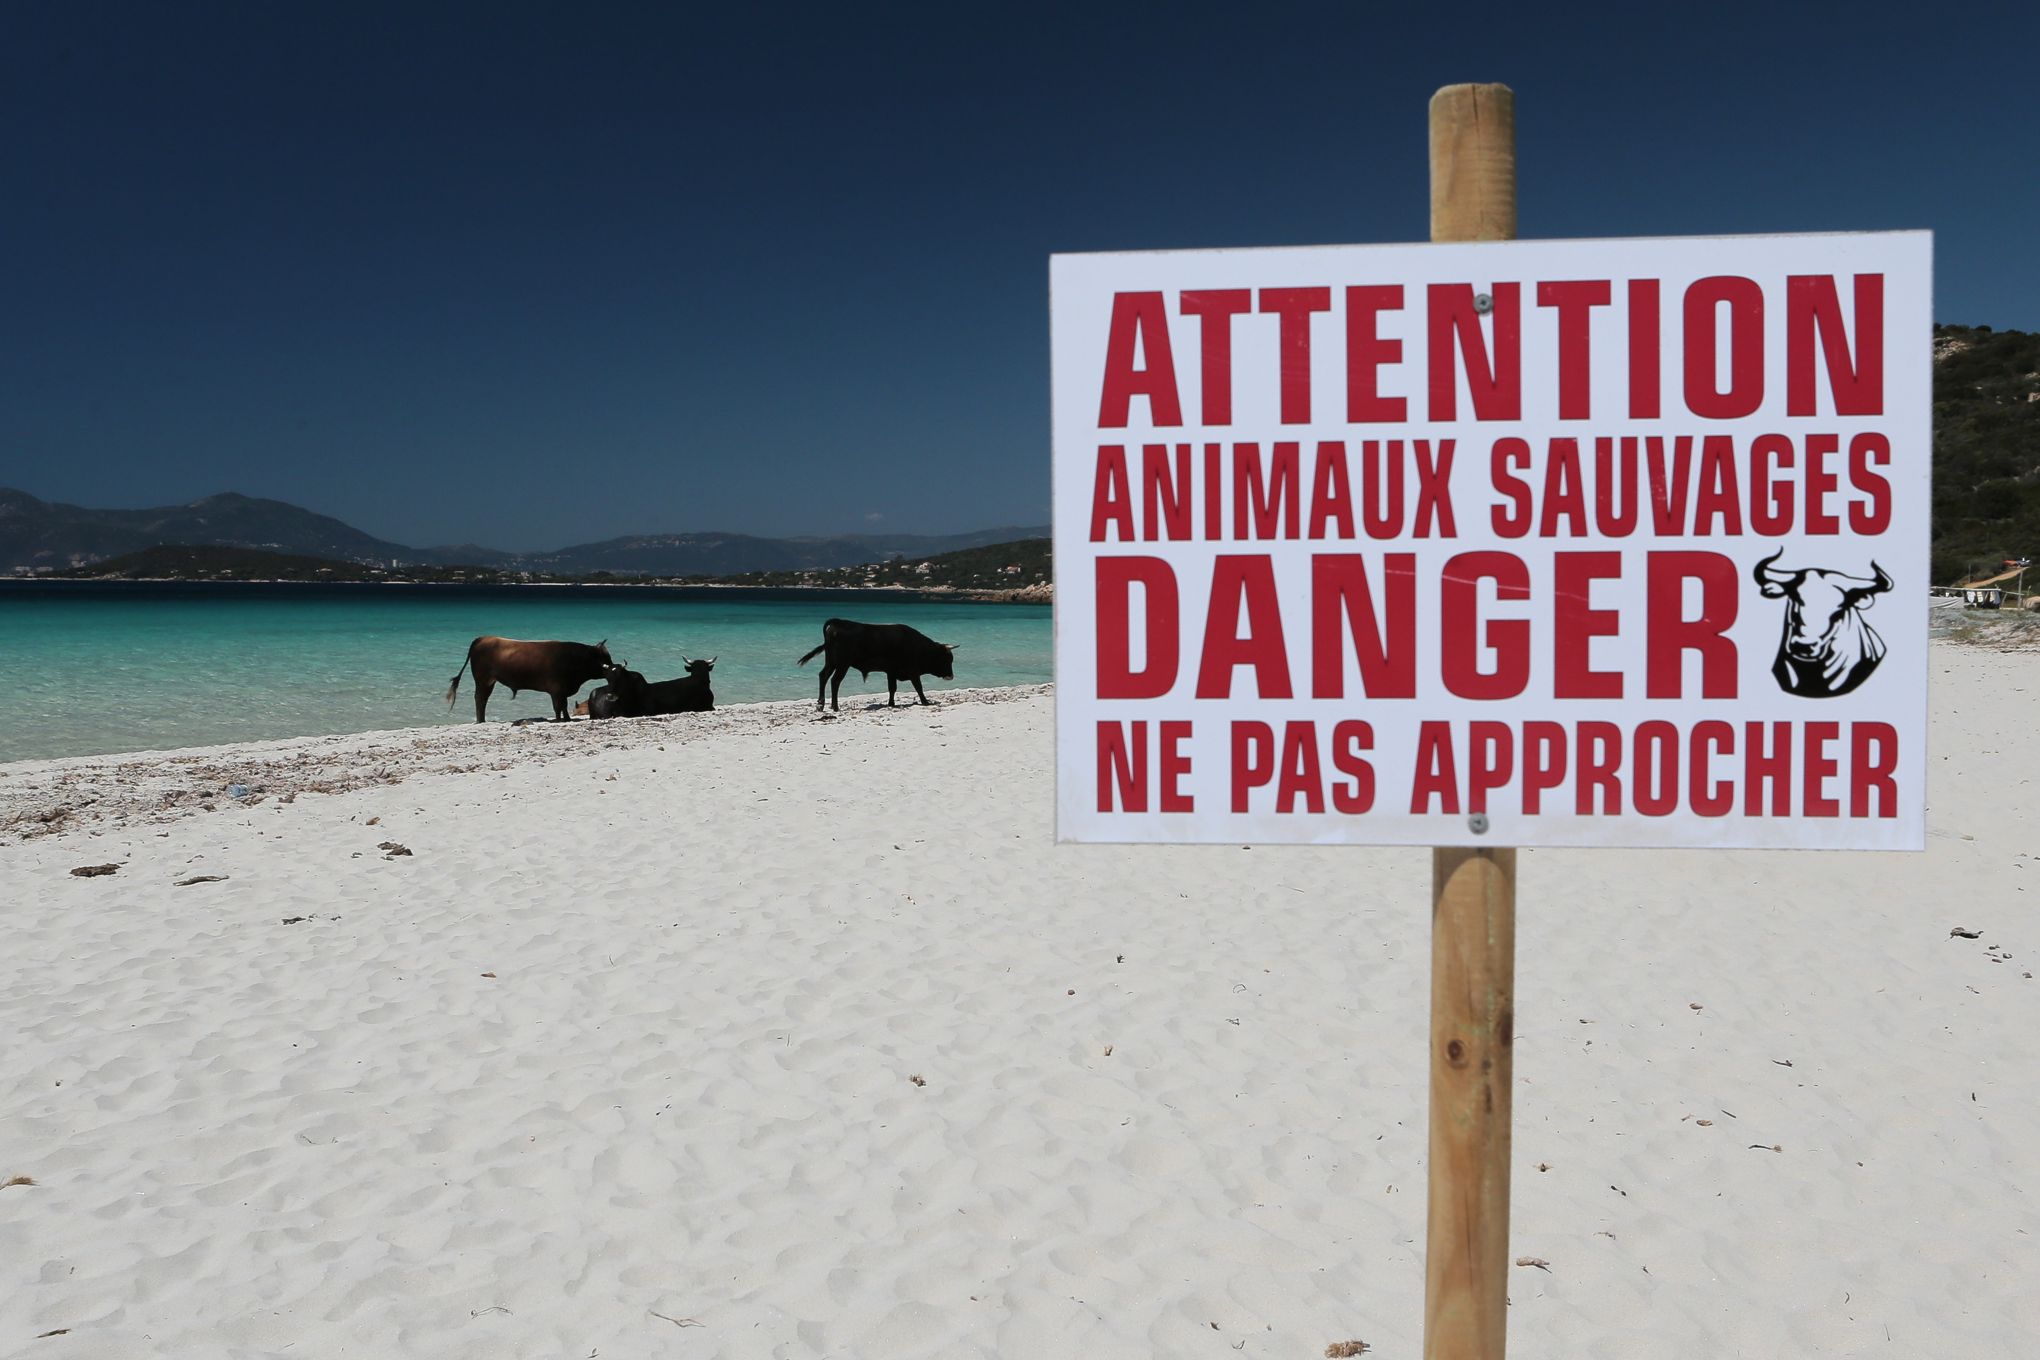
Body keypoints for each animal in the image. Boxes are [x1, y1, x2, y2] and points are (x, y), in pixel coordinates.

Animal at [442, 640, 607, 721]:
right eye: (604, 658)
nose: (612, 667)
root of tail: (482, 638)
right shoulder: (556, 690)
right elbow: (558, 706)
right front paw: (560, 720)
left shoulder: (562, 691)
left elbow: (563, 706)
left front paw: (566, 719)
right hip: (483, 681)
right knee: (480, 699)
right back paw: (480, 721)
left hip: (488, 682)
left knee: (482, 699)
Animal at [795, 619, 954, 713]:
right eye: (947, 659)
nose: (951, 676)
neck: (918, 647)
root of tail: (838, 622)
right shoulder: (912, 671)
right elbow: (919, 687)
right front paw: (926, 702)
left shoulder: (891, 672)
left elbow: (892, 688)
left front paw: (891, 703)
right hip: (842, 664)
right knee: (835, 681)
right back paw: (835, 707)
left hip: (832, 662)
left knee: (823, 676)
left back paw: (820, 705)